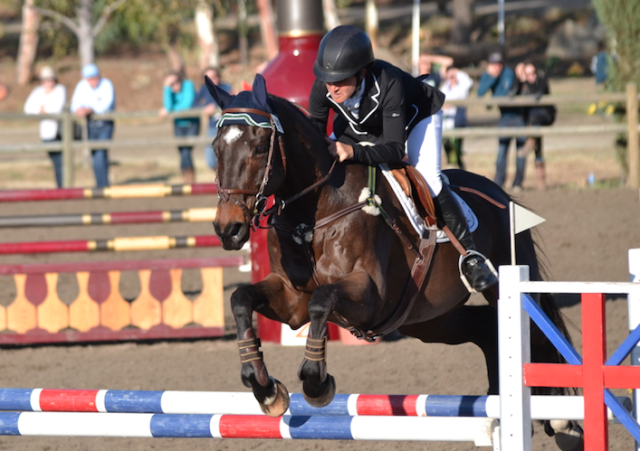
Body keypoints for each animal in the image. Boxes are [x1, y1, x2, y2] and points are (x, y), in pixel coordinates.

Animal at [206, 75, 584, 451]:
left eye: (260, 147)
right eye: (215, 148)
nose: (229, 229)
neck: (312, 214)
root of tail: (501, 194)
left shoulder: (369, 295)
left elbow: (322, 301)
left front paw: (316, 385)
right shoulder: (290, 298)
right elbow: (240, 298)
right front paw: (265, 388)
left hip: (500, 284)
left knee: (539, 334)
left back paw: (562, 420)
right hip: (428, 319)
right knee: (486, 328)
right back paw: (496, 411)